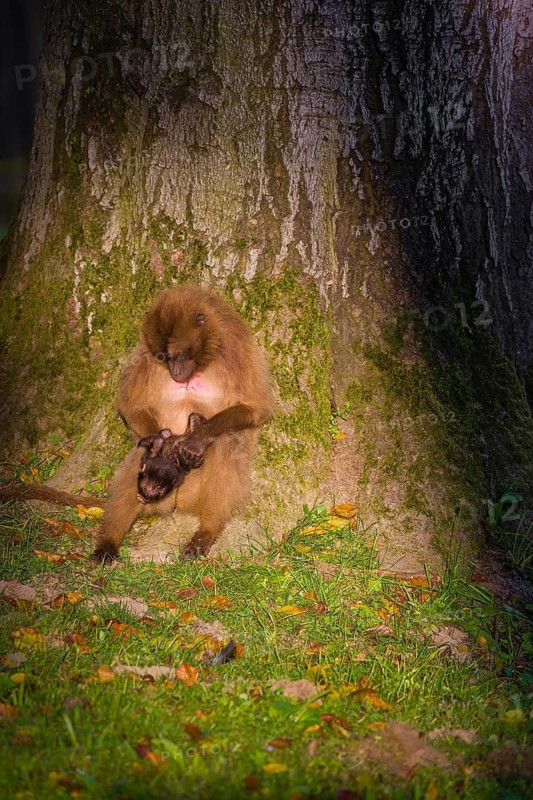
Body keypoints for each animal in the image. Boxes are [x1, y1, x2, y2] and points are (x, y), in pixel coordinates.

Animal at [92, 284, 274, 563]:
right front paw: (160, 445)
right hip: (159, 500)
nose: (176, 373)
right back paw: (110, 539)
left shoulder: (237, 347)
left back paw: (206, 531)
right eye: (164, 358)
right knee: (138, 455)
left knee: (226, 443)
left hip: (195, 493)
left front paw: (198, 438)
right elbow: (130, 407)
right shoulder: (144, 356)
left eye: (178, 356)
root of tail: (176, 504)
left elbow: (256, 408)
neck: (205, 359)